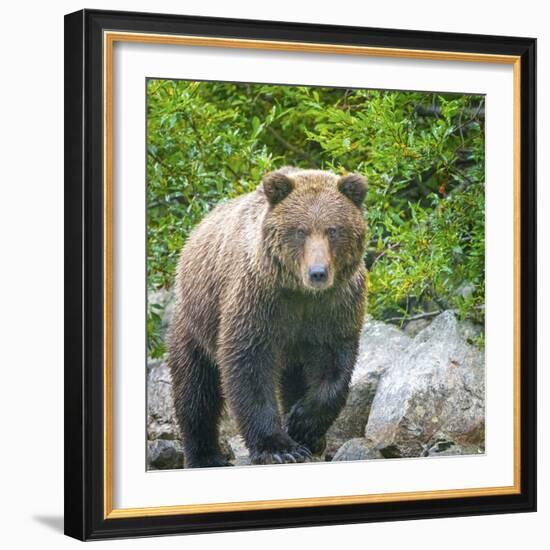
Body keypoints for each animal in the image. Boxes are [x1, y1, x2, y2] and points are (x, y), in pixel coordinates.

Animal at [166, 168, 368, 470]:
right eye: (300, 230)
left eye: (333, 230)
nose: (318, 273)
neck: (301, 294)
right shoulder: (259, 300)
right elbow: (249, 364)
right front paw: (279, 448)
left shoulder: (334, 308)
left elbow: (334, 366)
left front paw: (302, 425)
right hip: (195, 321)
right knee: (196, 389)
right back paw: (205, 455)